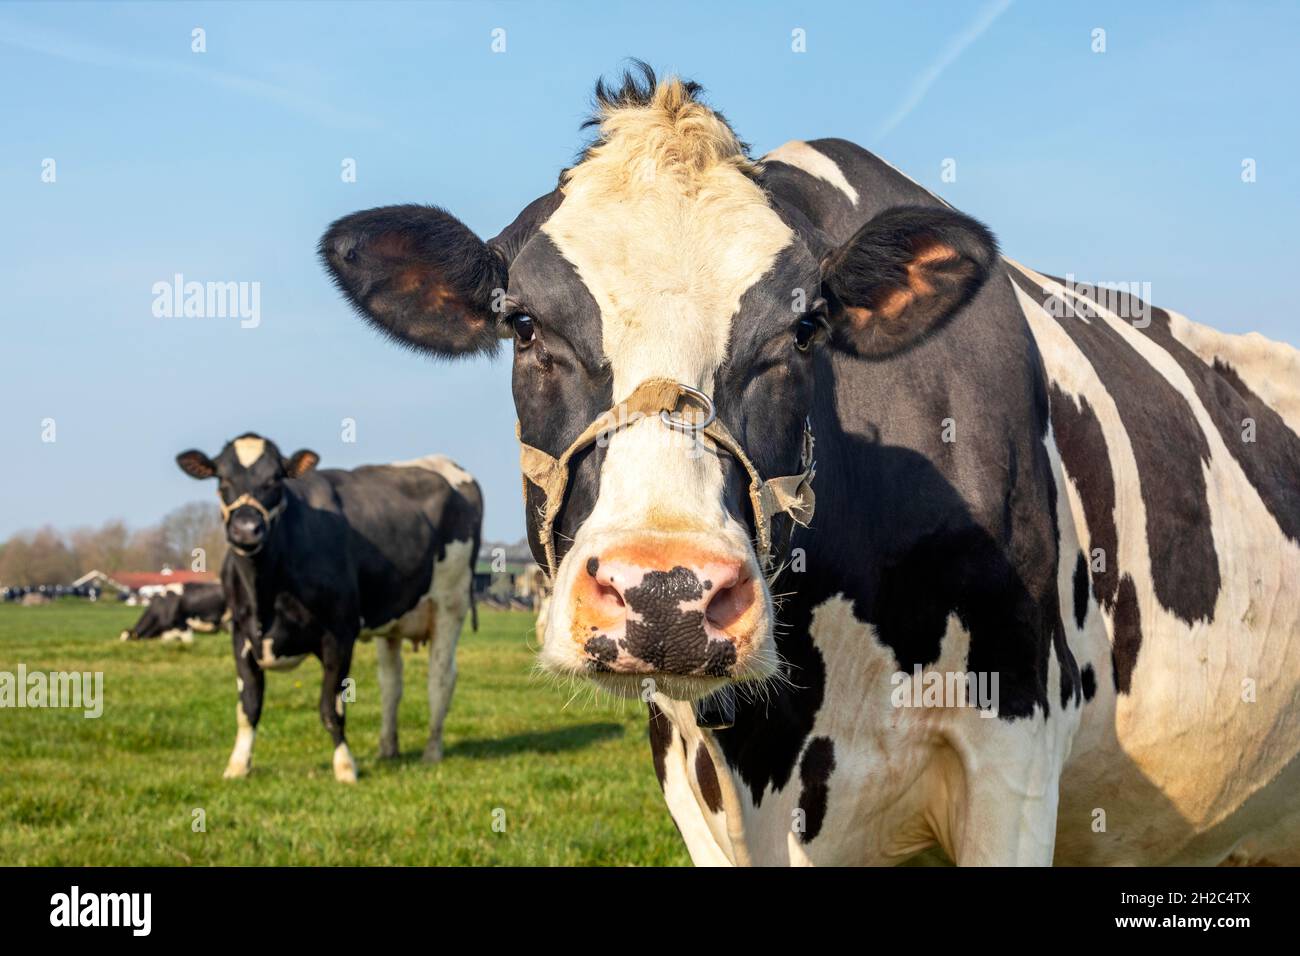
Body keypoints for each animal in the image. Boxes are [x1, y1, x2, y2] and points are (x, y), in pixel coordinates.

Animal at [175, 435, 482, 782]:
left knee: (440, 679)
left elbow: (330, 707)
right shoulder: (240, 634)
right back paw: (388, 748)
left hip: (450, 602)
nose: (246, 529)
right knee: (391, 683)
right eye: (223, 479)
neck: (264, 592)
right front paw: (238, 765)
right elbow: (249, 706)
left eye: (275, 479)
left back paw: (432, 751)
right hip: (391, 620)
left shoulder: (339, 634)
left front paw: (345, 765)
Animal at [318, 64, 1300, 863]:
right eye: (522, 324)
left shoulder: (1014, 751)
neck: (778, 735)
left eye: (802, 329)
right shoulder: (693, 778)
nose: (665, 594)